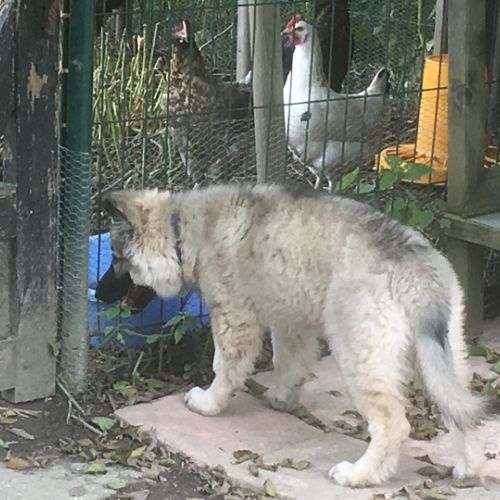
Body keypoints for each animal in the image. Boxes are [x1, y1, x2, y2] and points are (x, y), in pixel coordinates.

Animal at [103, 183, 497, 487]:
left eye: (117, 258)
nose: (98, 291)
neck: (181, 228)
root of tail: (416, 272)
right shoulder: (291, 321)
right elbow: (288, 362)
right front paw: (281, 396)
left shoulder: (234, 319)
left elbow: (224, 367)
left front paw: (209, 403)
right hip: (444, 352)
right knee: (460, 410)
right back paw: (468, 467)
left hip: (361, 353)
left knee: (393, 425)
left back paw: (359, 475)